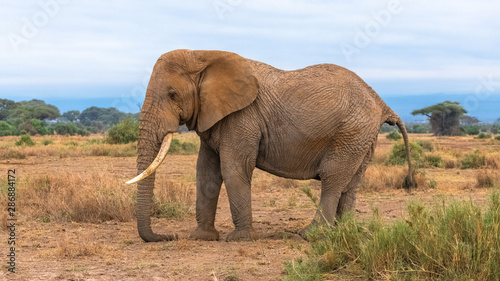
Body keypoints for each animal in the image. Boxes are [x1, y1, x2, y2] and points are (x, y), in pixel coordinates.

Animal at [125, 49, 414, 242]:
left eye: (172, 94)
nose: (168, 236)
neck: (203, 55)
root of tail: (381, 102)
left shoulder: (243, 117)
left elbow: (233, 169)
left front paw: (239, 239)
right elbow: (206, 172)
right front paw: (202, 237)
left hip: (351, 132)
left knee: (332, 178)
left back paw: (309, 235)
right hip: (363, 136)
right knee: (351, 184)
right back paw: (344, 232)